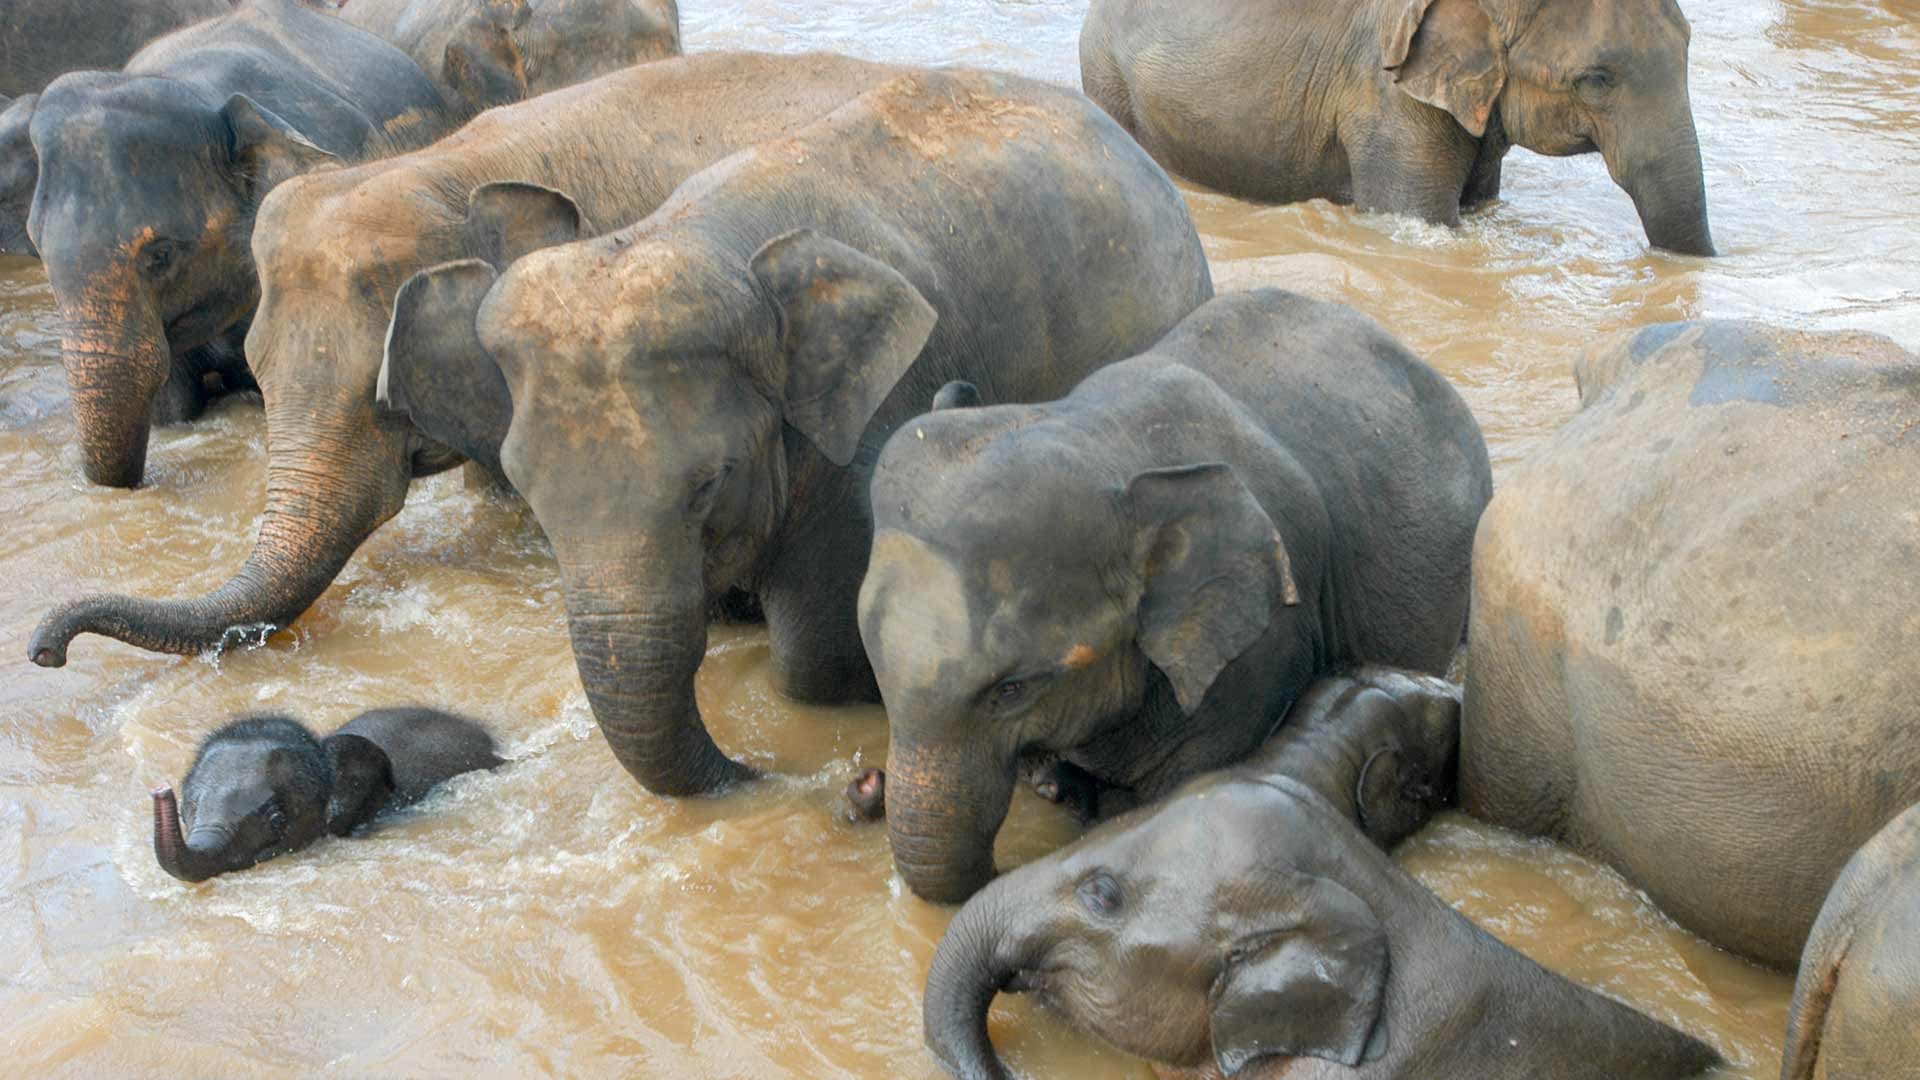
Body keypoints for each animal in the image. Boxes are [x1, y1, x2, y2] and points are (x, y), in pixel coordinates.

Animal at [374, 68, 1213, 797]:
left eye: (708, 484)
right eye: (528, 493)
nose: (762, 772)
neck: (700, 235)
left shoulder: (873, 424)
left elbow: (814, 655)